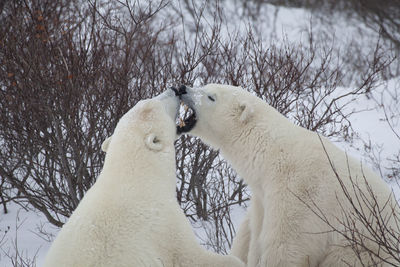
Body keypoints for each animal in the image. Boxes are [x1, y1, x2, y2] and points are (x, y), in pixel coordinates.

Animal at [43, 89, 244, 267]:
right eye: (158, 103)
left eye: (143, 100)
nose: (176, 88)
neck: (136, 177)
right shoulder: (167, 226)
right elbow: (192, 256)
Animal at [179, 84, 400, 267]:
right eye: (205, 85)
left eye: (211, 96)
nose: (182, 88)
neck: (270, 152)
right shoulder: (262, 197)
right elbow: (255, 237)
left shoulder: (301, 194)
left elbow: (285, 247)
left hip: (360, 246)